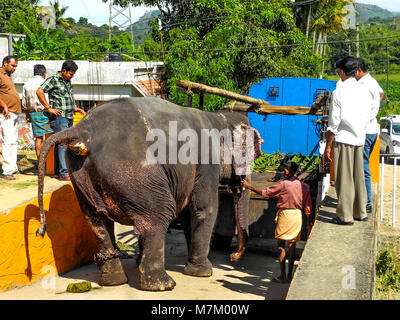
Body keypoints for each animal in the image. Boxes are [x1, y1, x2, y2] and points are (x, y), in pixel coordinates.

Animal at [36, 96, 262, 292]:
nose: (233, 257)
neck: (218, 117)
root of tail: (82, 131)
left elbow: (187, 214)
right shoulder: (207, 162)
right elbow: (203, 209)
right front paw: (203, 272)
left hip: (82, 176)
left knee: (97, 221)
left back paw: (114, 281)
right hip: (135, 172)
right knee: (159, 215)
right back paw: (163, 285)